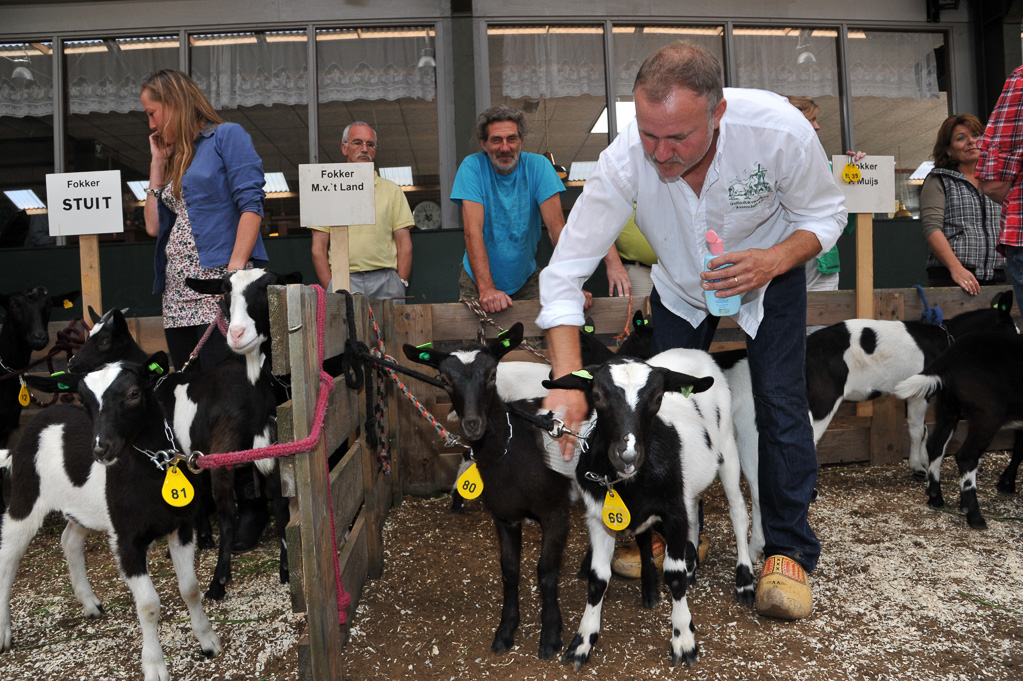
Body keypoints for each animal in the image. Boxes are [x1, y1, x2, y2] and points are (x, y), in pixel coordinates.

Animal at [0, 351, 221, 674]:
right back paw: (4, 632)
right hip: (26, 496)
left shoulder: (180, 527)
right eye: (84, 400)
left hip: (82, 507)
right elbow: (149, 605)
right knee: (8, 556)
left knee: (69, 540)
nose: (101, 450)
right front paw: (154, 665)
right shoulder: (126, 540)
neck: (152, 469)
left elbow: (190, 588)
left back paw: (90, 603)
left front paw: (208, 641)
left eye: (133, 393)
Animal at [401, 323, 581, 658]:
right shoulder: (504, 516)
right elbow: (509, 571)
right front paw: (506, 630)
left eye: (492, 374)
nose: (473, 425)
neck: (513, 448)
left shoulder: (555, 511)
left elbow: (547, 572)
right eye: (444, 380)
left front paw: (551, 636)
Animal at [548, 347, 757, 666]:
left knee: (738, 512)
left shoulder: (672, 512)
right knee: (692, 510)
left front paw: (684, 641)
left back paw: (744, 579)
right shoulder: (599, 518)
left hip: (727, 449)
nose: (627, 455)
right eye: (596, 394)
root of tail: (694, 351)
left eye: (658, 398)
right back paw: (689, 565)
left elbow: (673, 576)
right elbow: (598, 579)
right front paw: (582, 642)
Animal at [892, 331, 1023, 527]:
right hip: (986, 415)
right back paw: (974, 516)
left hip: (947, 408)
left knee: (935, 447)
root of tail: (950, 357)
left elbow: (1020, 448)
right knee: (966, 456)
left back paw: (935, 498)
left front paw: (1007, 483)